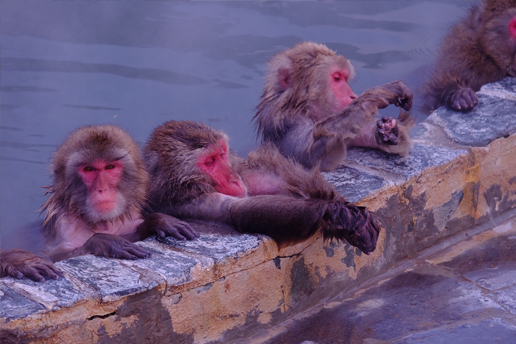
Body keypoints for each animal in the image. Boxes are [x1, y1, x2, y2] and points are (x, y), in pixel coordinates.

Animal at [39, 125, 198, 262]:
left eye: (110, 167)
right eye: (89, 169)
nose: (102, 189)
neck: (103, 223)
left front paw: (158, 220)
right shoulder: (65, 231)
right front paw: (105, 241)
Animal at [143, 121, 380, 255]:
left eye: (221, 154)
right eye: (209, 162)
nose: (233, 179)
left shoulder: (238, 167)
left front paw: (342, 208)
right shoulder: (188, 202)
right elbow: (237, 210)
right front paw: (334, 211)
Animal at [254, 41, 416, 172]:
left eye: (344, 78)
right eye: (337, 78)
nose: (353, 96)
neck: (302, 107)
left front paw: (387, 131)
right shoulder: (287, 121)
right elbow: (309, 155)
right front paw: (372, 97)